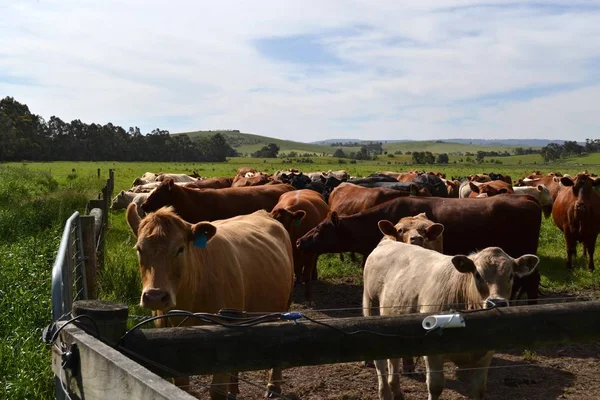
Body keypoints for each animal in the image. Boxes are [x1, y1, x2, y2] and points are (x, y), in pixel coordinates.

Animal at [127, 206, 296, 400]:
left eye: (180, 249)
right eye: (139, 249)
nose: (155, 296)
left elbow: (217, 390)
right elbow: (181, 384)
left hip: (283, 306)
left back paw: (273, 385)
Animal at [360, 241, 540, 400]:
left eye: (511, 275)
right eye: (477, 274)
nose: (497, 302)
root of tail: (387, 242)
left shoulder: (486, 354)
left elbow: (479, 390)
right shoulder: (433, 352)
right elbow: (435, 387)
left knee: (393, 360)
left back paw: (396, 392)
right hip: (371, 308)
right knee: (380, 363)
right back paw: (385, 393)